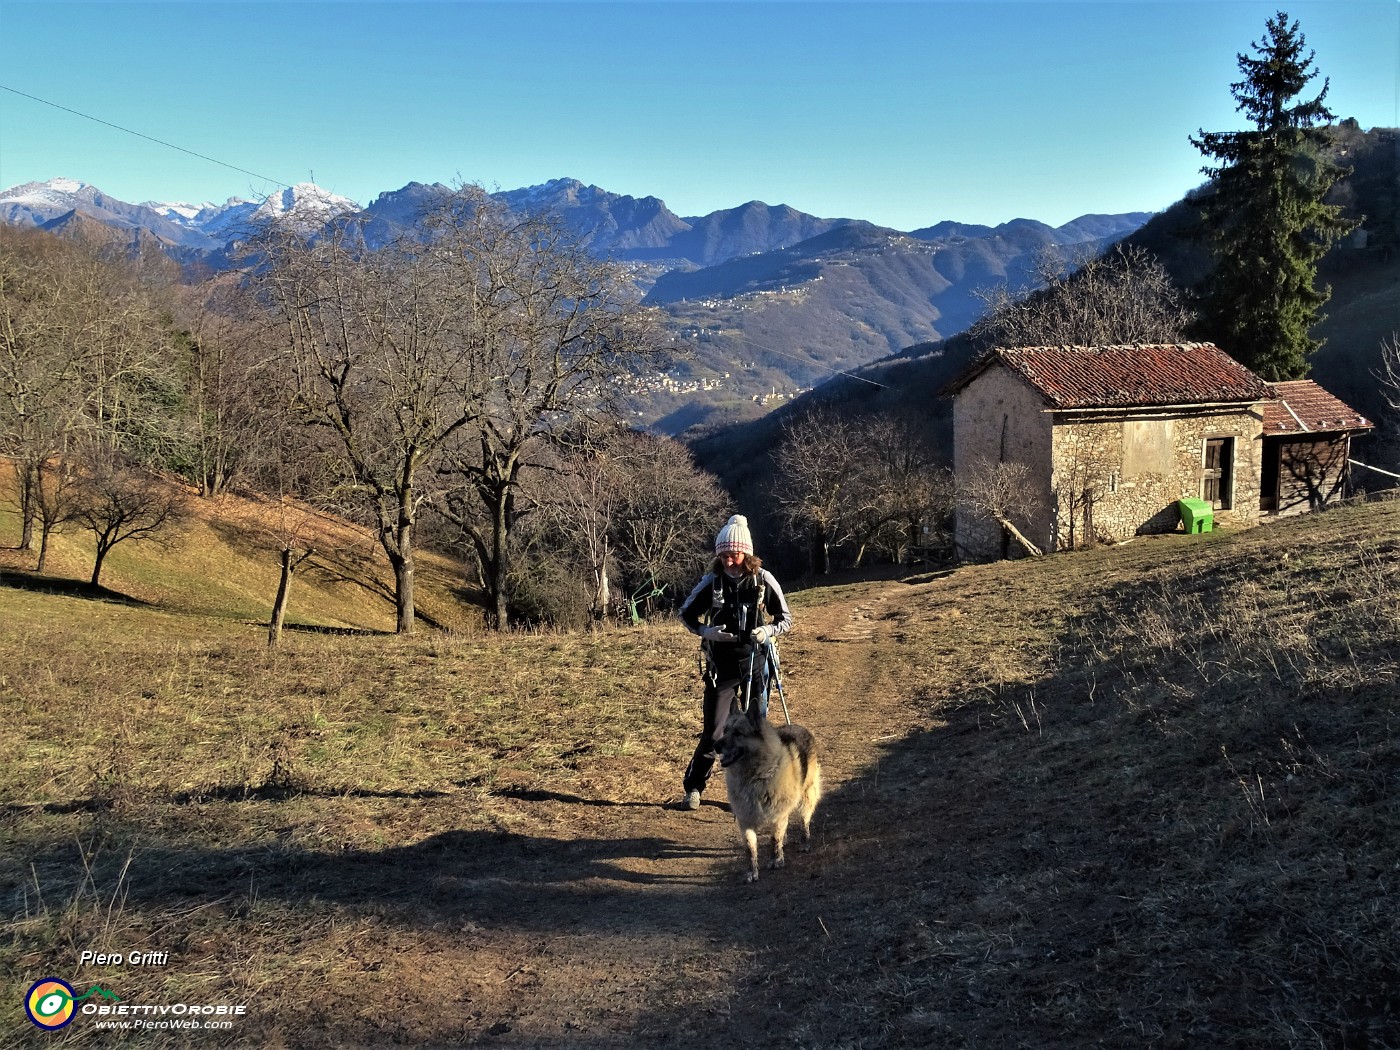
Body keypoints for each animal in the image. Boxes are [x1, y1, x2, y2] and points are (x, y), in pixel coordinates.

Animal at [722, 708, 817, 879]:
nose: (715, 745)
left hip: (807, 797)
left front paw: (776, 859)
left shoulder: (777, 815)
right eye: (725, 730)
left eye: (738, 733)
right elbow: (750, 848)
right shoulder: (745, 820)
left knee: (804, 821)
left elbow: (774, 839)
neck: (754, 776)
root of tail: (798, 727)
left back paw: (805, 841)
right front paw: (752, 870)